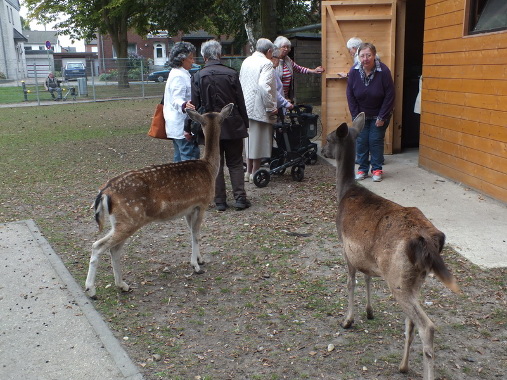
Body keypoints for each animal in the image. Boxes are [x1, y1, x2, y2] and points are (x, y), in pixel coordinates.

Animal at [85, 102, 234, 298]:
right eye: (223, 119)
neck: (210, 168)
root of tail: (104, 192)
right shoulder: (201, 204)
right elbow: (195, 234)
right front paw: (196, 266)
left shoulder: (188, 210)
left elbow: (192, 233)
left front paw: (200, 259)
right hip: (129, 219)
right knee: (98, 245)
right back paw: (91, 289)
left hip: (120, 221)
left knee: (113, 249)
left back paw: (123, 285)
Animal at [324, 113, 462, 380]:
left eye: (329, 137)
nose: (322, 150)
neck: (344, 193)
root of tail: (429, 240)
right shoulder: (364, 255)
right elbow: (367, 278)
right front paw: (369, 312)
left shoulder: (345, 247)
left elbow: (350, 283)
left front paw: (347, 320)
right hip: (414, 279)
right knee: (411, 322)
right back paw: (403, 365)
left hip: (396, 276)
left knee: (426, 326)